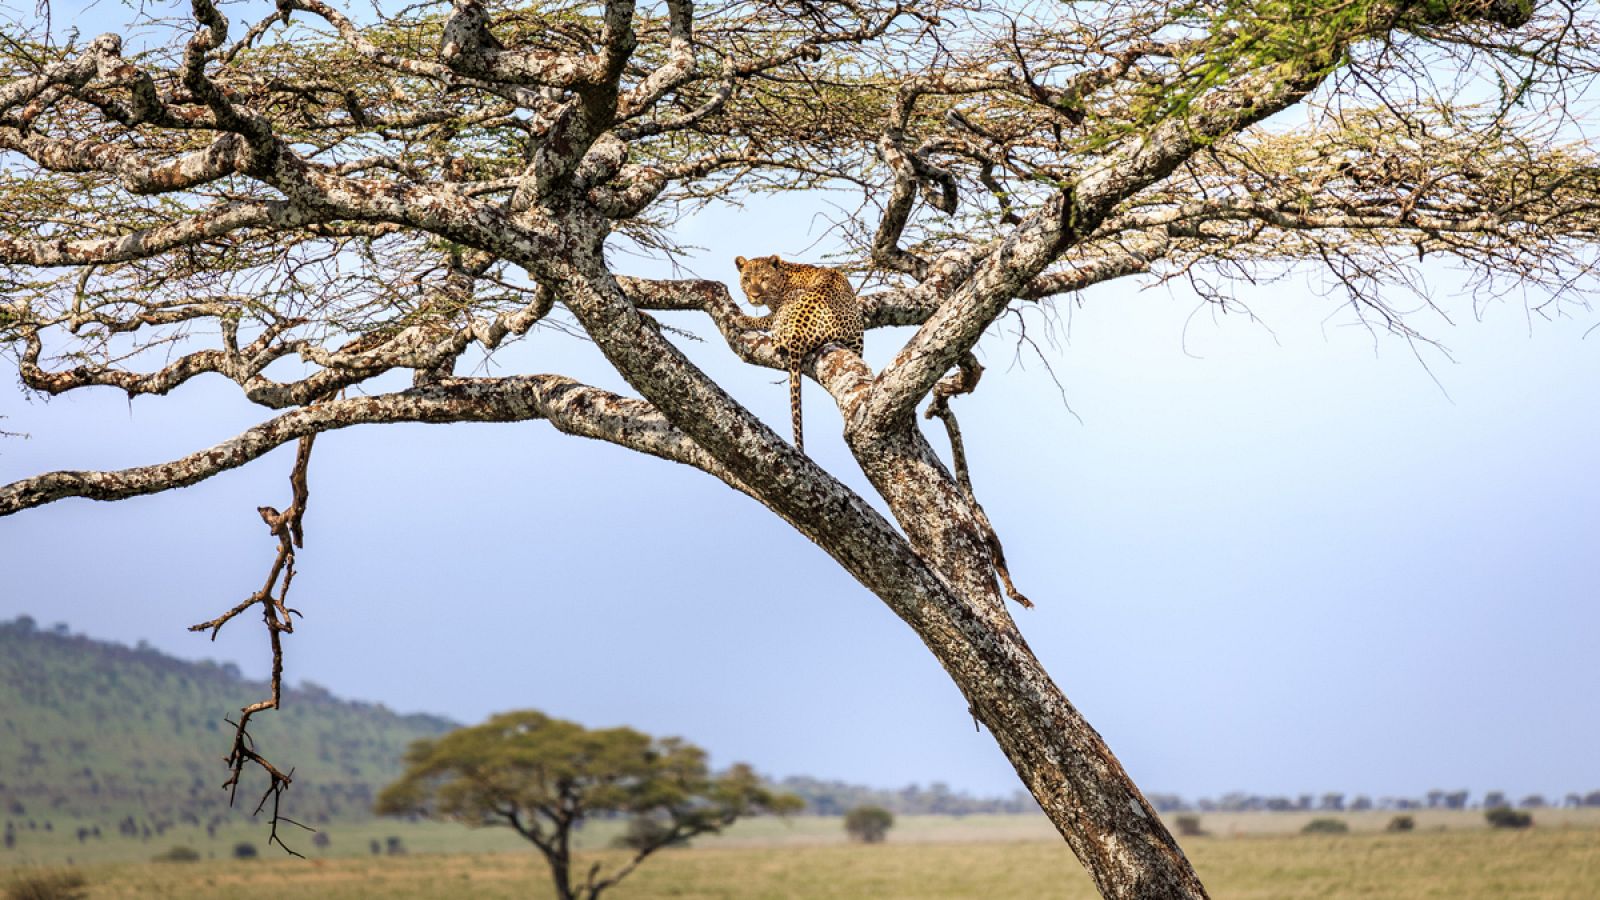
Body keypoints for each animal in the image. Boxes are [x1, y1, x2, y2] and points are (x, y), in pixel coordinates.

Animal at [732, 249, 864, 448]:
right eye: (747, 278)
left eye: (764, 279)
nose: (754, 295)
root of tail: (798, 333)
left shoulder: (775, 312)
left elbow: (764, 319)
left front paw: (743, 319)